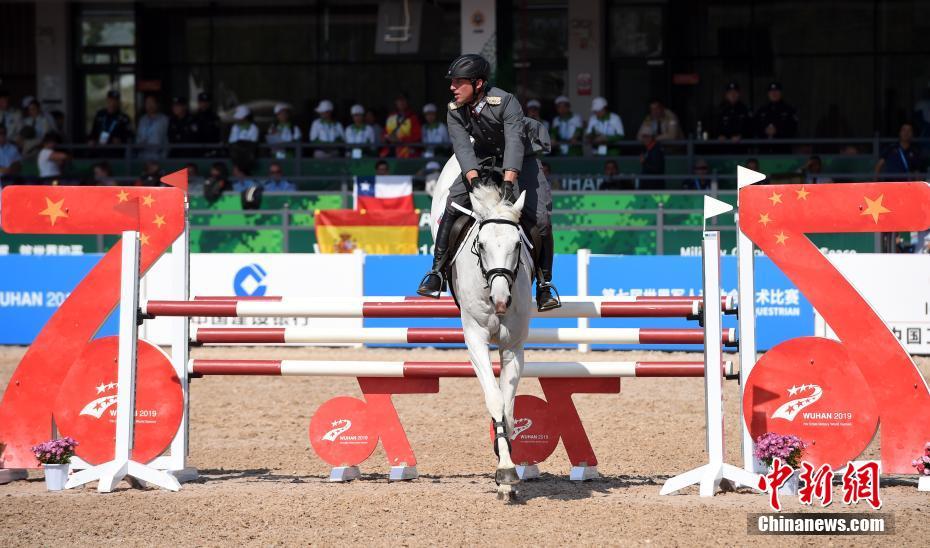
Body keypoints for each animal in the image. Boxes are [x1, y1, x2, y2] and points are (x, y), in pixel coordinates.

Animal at [430, 157, 533, 501]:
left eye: (517, 244)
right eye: (482, 244)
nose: (500, 301)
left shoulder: (514, 346)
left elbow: (509, 409)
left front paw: (506, 462)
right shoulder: (475, 339)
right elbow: (495, 399)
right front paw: (506, 470)